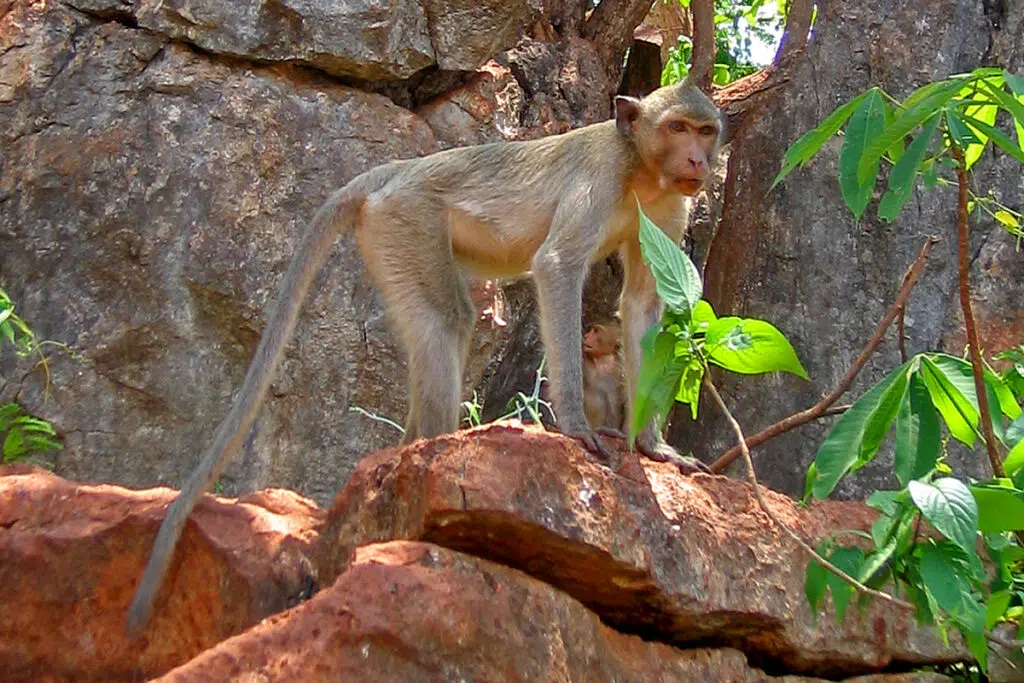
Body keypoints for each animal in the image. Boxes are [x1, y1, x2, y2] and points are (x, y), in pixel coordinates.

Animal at [126, 78, 722, 632]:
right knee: (445, 318)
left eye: (705, 130)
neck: (639, 169)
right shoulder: (597, 179)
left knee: (447, 321)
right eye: (676, 128)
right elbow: (557, 265)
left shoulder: (671, 206)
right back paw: (430, 469)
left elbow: (644, 306)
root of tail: (396, 172)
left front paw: (651, 445)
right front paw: (576, 427)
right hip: (405, 219)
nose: (698, 159)